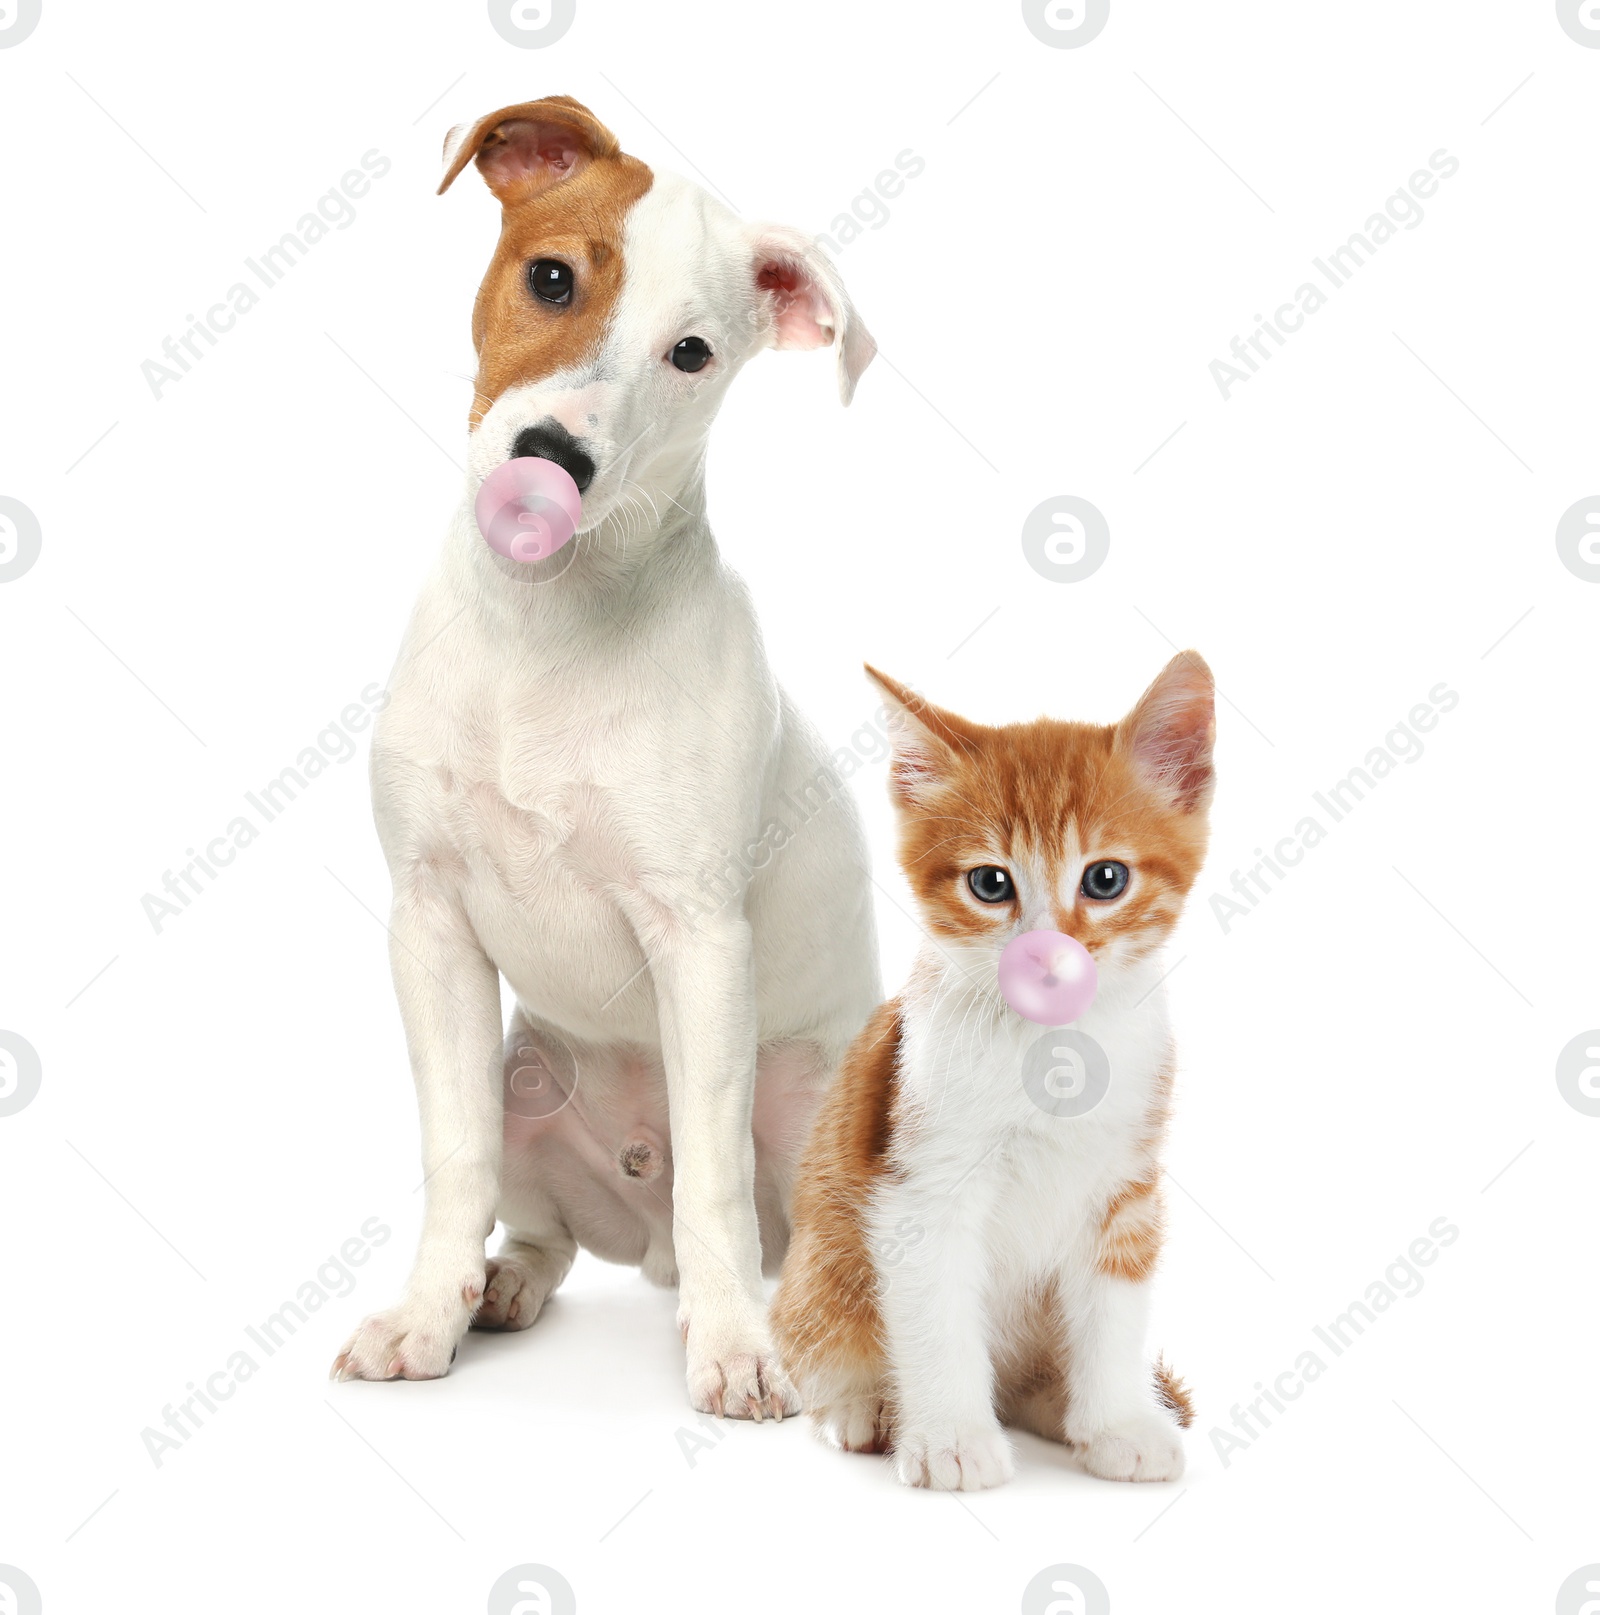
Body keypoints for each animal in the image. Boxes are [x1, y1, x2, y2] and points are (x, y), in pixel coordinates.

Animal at [335, 97, 884, 1414]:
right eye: (550, 278)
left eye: (691, 354)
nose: (554, 456)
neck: (546, 629)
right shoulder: (427, 924)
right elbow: (455, 1155)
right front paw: (426, 1315)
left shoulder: (701, 942)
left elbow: (717, 1186)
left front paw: (733, 1350)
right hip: (530, 1085)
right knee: (542, 1226)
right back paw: (502, 1289)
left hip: (820, 1109)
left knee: (774, 1227)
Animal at [768, 652, 1207, 1485]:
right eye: (990, 883)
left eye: (1106, 879)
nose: (1045, 958)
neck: (1050, 1050)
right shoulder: (919, 1183)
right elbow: (937, 1315)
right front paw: (949, 1437)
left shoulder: (1126, 1184)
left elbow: (1113, 1308)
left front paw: (1117, 1421)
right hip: (818, 1268)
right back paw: (865, 1406)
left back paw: (1060, 1403)